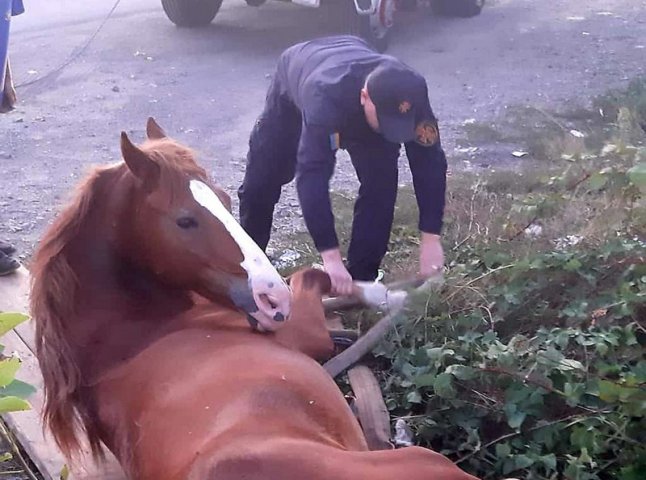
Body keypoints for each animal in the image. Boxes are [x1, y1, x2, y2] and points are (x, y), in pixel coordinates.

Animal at [30, 119, 480, 480]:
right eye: (185, 220)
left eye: (228, 201)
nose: (272, 300)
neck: (133, 338)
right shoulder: (305, 332)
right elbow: (314, 277)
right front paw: (395, 292)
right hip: (426, 459)